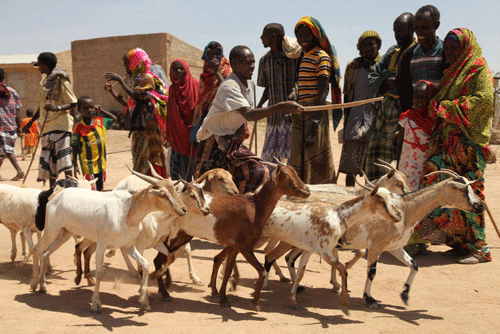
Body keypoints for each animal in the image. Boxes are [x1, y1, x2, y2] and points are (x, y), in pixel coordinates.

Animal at [30, 170, 188, 314]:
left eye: (174, 191)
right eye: (163, 194)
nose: (183, 209)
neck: (127, 213)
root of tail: (56, 196)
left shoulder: (129, 246)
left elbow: (145, 264)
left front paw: (144, 301)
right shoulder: (102, 244)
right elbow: (100, 273)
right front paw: (96, 304)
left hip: (64, 234)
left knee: (45, 253)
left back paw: (43, 286)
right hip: (51, 230)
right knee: (37, 250)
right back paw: (34, 284)